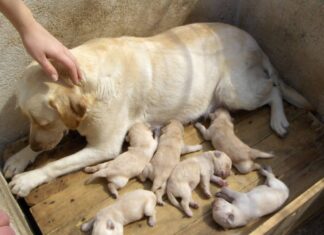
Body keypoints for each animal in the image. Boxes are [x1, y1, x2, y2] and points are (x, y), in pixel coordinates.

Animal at [3, 23, 310, 196]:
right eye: (28, 118)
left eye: (43, 121)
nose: (35, 144)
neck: (90, 78)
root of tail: (254, 40)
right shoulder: (70, 123)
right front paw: (21, 157)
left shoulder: (104, 147)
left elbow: (57, 164)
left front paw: (28, 178)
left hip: (234, 92)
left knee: (273, 87)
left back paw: (279, 119)